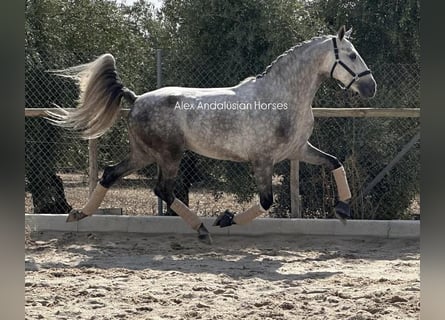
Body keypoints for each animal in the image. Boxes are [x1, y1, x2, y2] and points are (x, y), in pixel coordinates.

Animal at [47, 26, 374, 244]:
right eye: (352, 55)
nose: (370, 87)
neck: (282, 97)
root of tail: (136, 99)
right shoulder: (263, 161)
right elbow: (266, 201)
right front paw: (225, 218)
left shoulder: (298, 150)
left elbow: (334, 163)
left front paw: (343, 208)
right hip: (169, 155)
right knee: (162, 190)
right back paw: (202, 229)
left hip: (144, 154)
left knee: (111, 174)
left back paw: (78, 214)